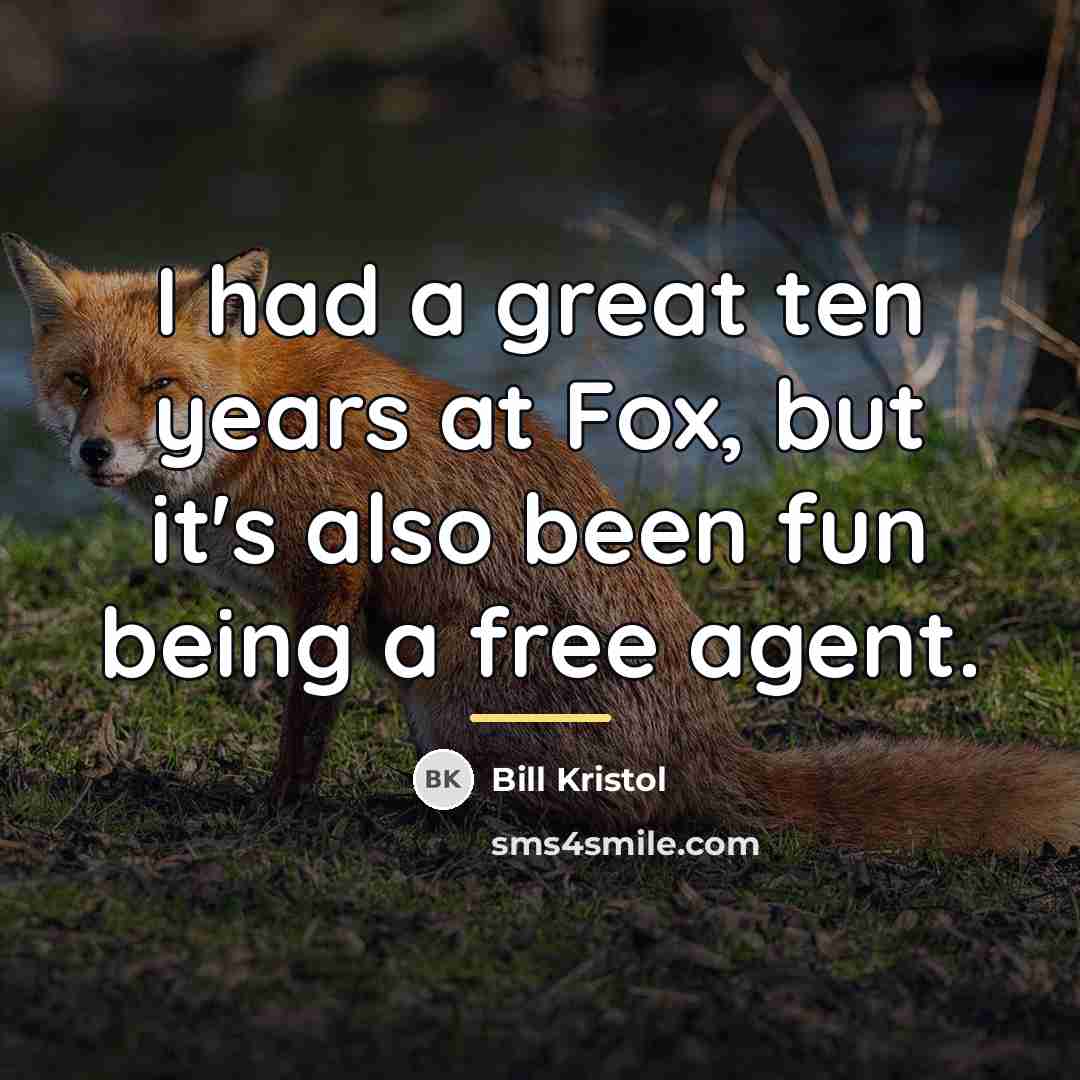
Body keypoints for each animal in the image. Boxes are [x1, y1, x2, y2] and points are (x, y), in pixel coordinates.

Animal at [4, 232, 1080, 855]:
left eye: (160, 387)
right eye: (76, 382)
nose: (98, 451)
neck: (261, 421)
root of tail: (715, 753)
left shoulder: (333, 577)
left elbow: (304, 726)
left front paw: (281, 810)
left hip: (449, 702)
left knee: (607, 817)